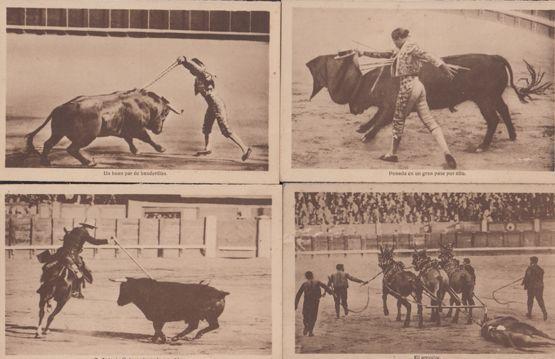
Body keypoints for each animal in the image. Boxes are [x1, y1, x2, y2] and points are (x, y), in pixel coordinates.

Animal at [26, 88, 182, 167]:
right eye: (165, 114)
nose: (159, 130)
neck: (141, 103)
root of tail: (60, 108)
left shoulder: (125, 130)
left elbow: (129, 139)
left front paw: (135, 150)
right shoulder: (137, 128)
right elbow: (146, 138)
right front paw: (161, 148)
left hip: (58, 132)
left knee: (48, 143)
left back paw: (46, 161)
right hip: (88, 136)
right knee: (72, 148)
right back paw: (89, 162)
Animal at [306, 52, 528, 151]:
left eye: (359, 91)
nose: (353, 109)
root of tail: (494, 57)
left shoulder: (392, 107)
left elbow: (380, 120)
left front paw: (366, 136)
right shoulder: (388, 106)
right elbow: (376, 117)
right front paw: (362, 128)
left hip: (484, 99)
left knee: (493, 119)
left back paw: (481, 146)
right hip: (494, 97)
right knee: (505, 110)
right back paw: (512, 136)